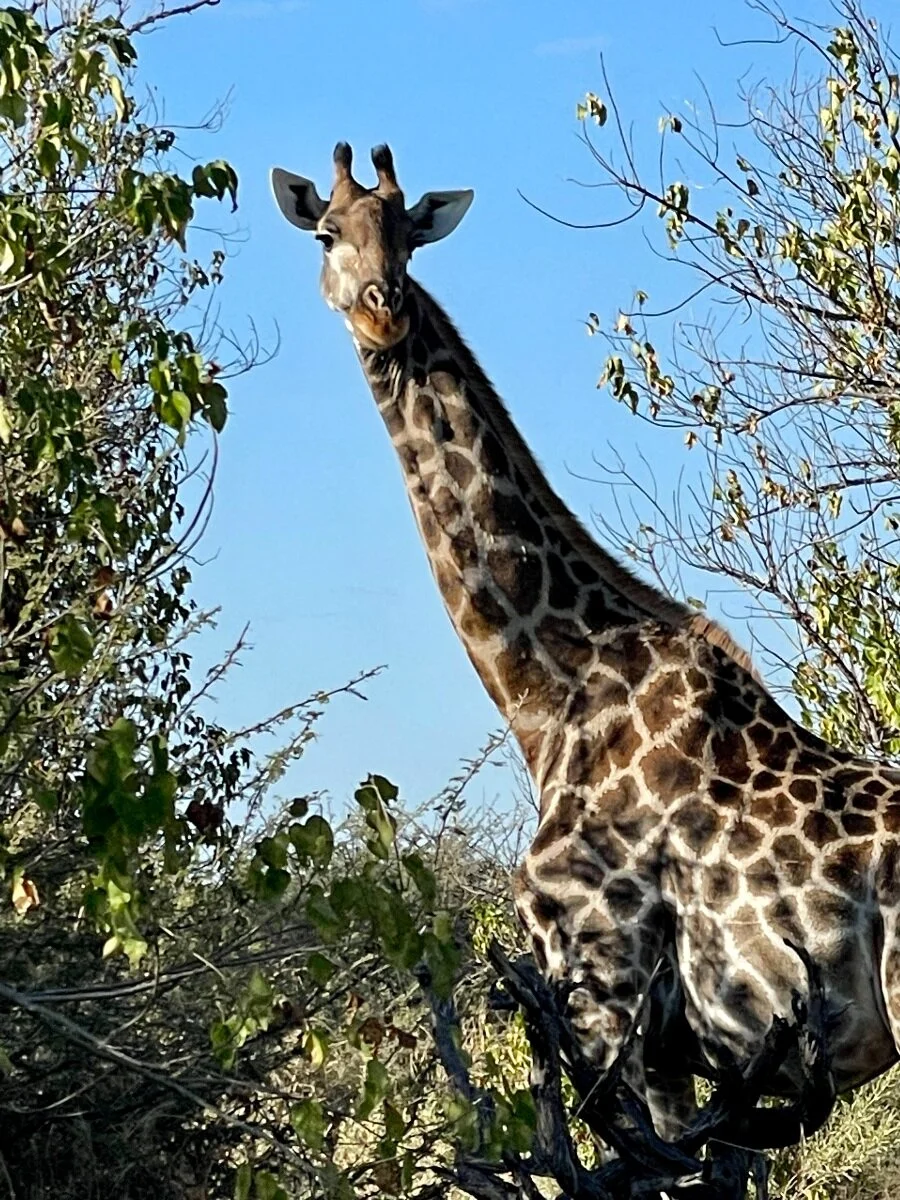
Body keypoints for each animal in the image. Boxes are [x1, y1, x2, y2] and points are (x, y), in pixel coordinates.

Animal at [271, 142, 900, 1148]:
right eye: (328, 233)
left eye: (408, 234)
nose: (381, 305)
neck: (550, 690)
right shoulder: (683, 1049)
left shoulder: (603, 983)